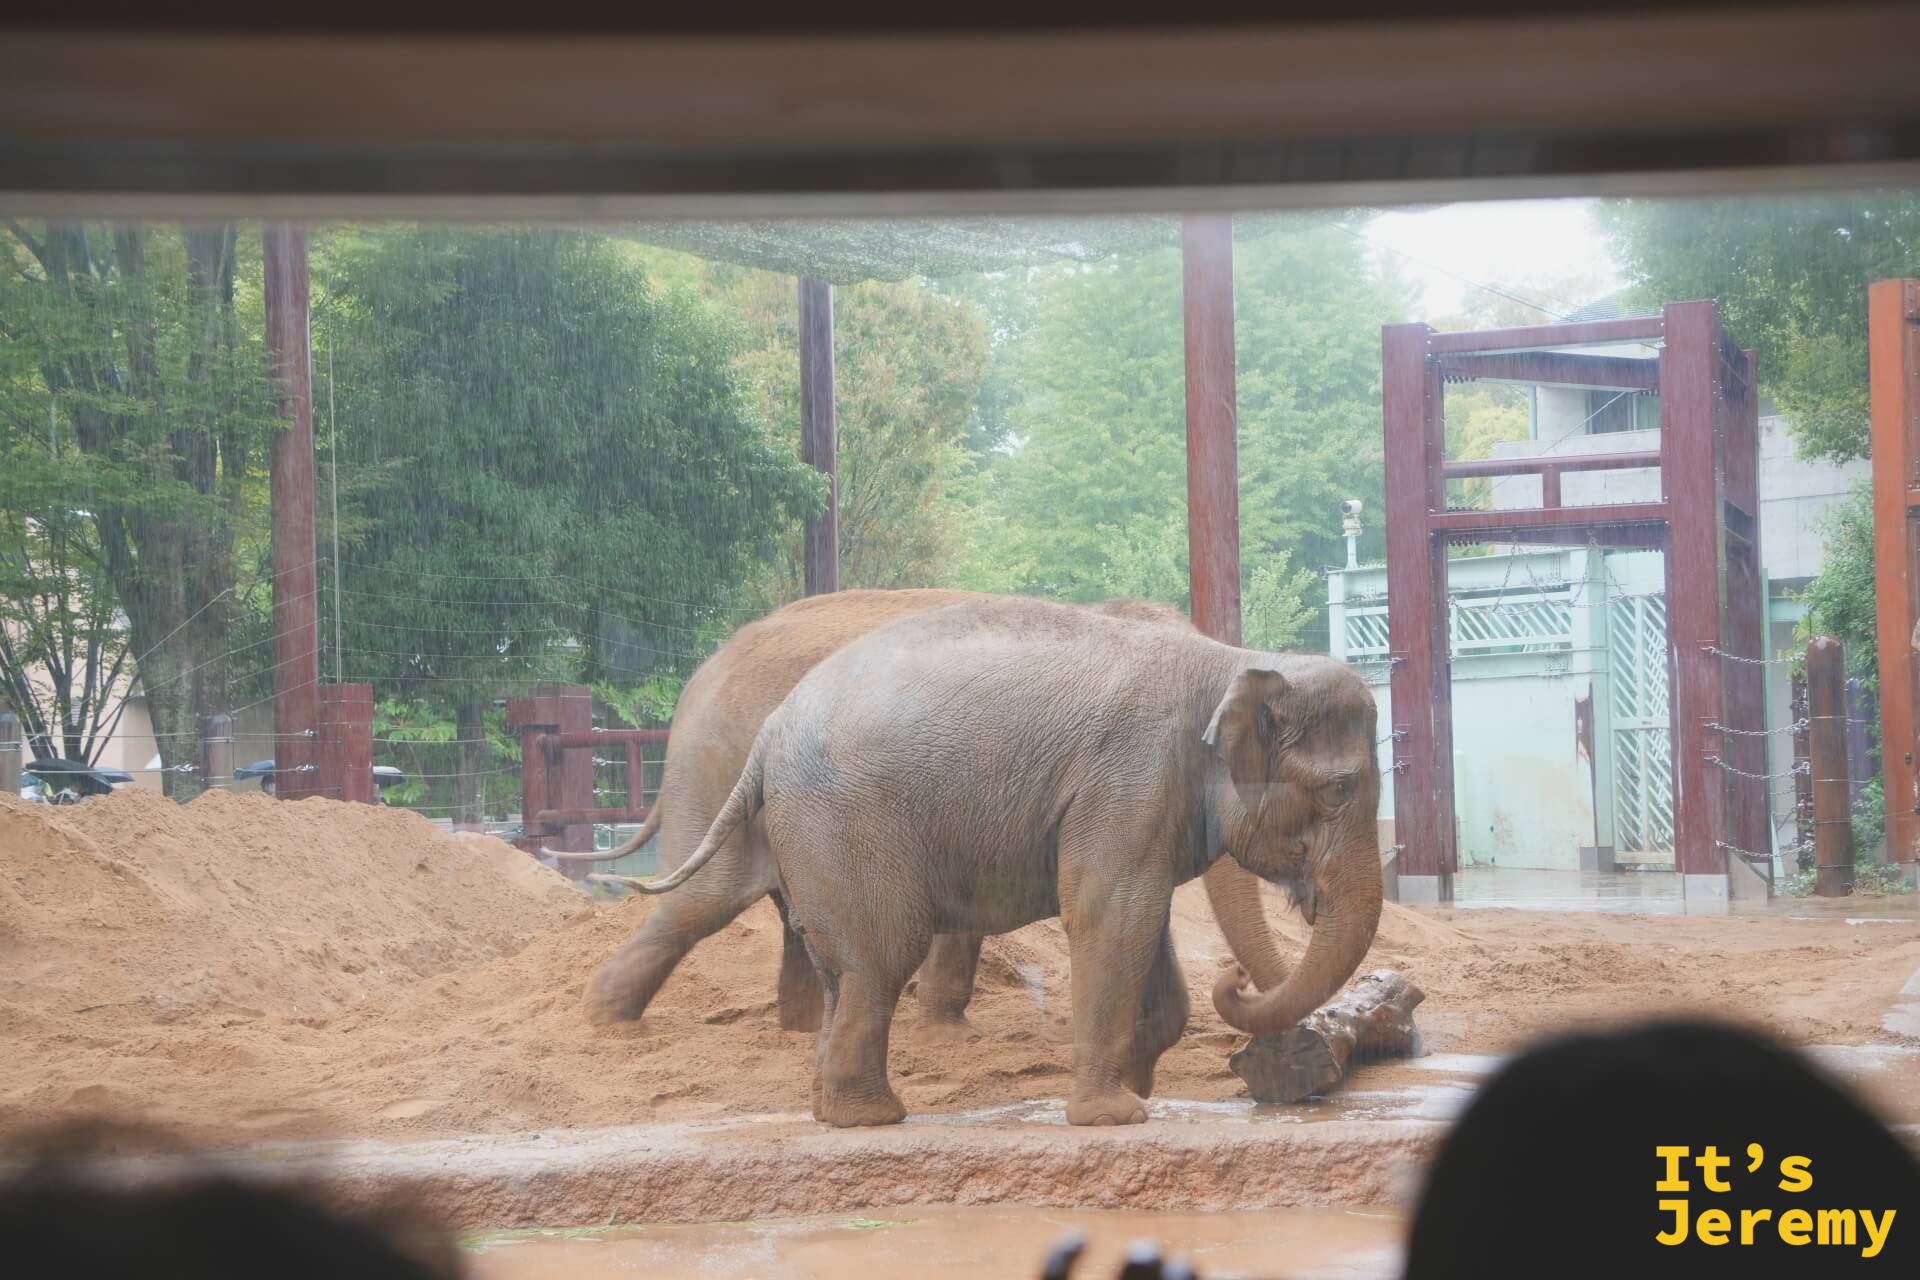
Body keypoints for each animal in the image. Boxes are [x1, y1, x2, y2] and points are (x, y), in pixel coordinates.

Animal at [582, 589, 1292, 1036]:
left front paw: (944, 1026)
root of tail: (698, 678)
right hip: (719, 771)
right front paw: (946, 1033)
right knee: (700, 900)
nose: (1237, 981)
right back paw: (607, 1023)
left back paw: (802, 1030)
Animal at [658, 595, 1384, 1127]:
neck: (1231, 662)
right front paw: (1113, 1115)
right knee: (882, 954)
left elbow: (1140, 918)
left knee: (837, 964)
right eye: (1338, 790)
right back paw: (870, 1118)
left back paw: (830, 1107)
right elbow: (1111, 912)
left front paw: (1137, 1087)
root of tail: (767, 736)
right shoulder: (1130, 775)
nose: (1233, 979)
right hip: (843, 824)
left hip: (812, 841)